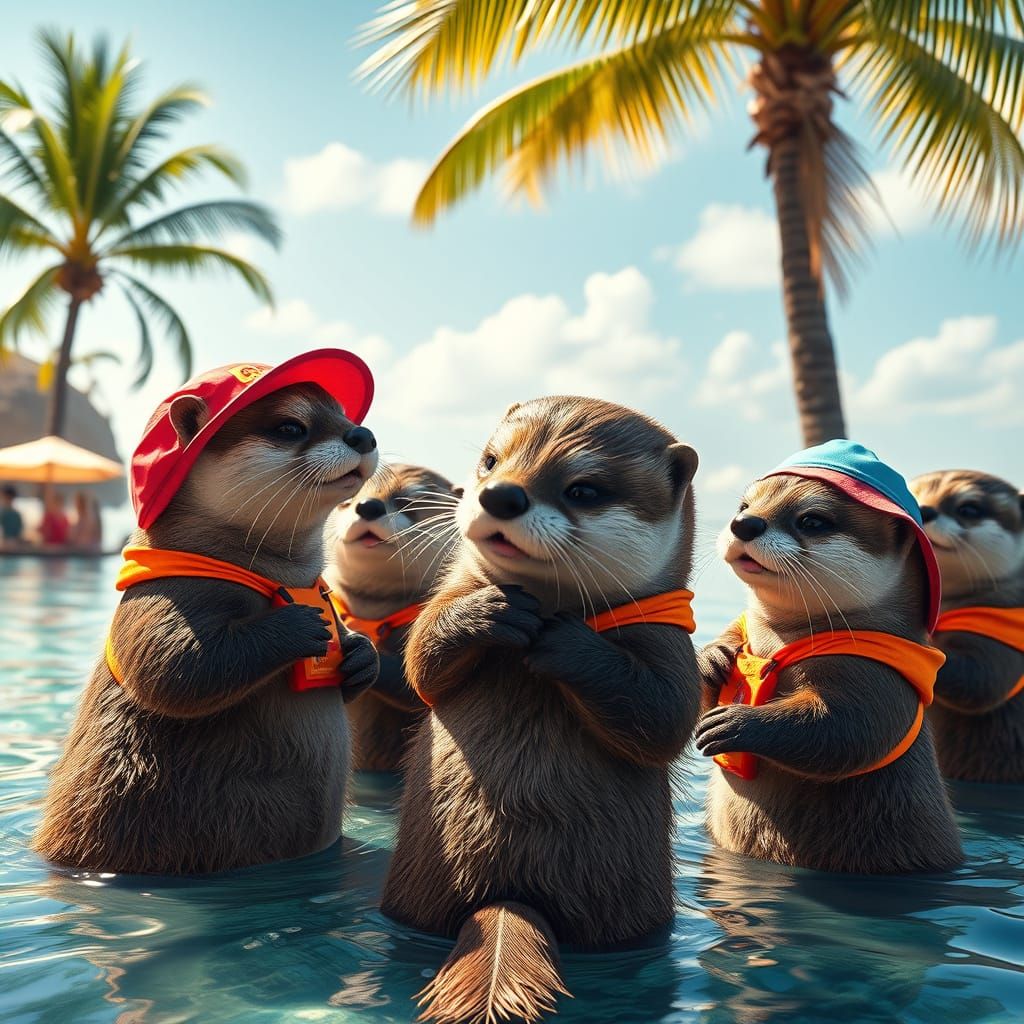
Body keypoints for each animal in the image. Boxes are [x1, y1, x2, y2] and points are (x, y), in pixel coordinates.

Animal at [34, 365, 381, 875]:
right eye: (290, 427)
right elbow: (174, 669)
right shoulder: (163, 597)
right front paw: (300, 626)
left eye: (344, 416)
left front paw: (361, 653)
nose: (362, 434)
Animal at [381, 396, 701, 1024]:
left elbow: (665, 720)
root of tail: (510, 896)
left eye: (585, 488)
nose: (501, 494)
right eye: (490, 460)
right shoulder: (440, 606)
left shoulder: (674, 648)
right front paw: (489, 613)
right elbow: (421, 659)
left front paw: (562, 639)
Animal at [697, 443, 963, 874]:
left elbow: (843, 731)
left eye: (812, 520)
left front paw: (735, 723)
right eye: (744, 505)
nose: (744, 523)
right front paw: (712, 656)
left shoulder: (880, 680)